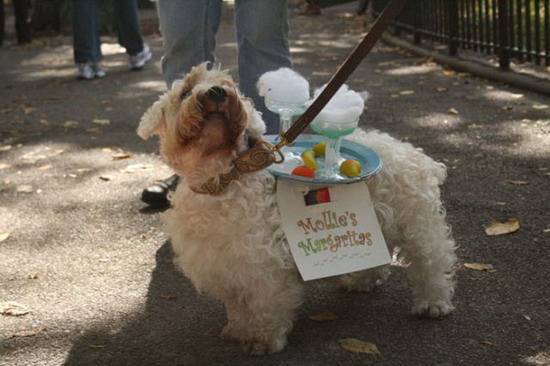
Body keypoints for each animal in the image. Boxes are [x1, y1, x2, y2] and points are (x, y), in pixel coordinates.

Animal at [140, 63, 460, 354]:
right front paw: (237, 329)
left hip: (419, 227)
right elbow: (238, 306)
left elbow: (266, 306)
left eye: (228, 83)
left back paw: (433, 303)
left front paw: (262, 340)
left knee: (433, 263)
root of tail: (417, 156)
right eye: (185, 92)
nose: (218, 92)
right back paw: (360, 281)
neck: (223, 180)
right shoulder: (228, 267)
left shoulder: (265, 268)